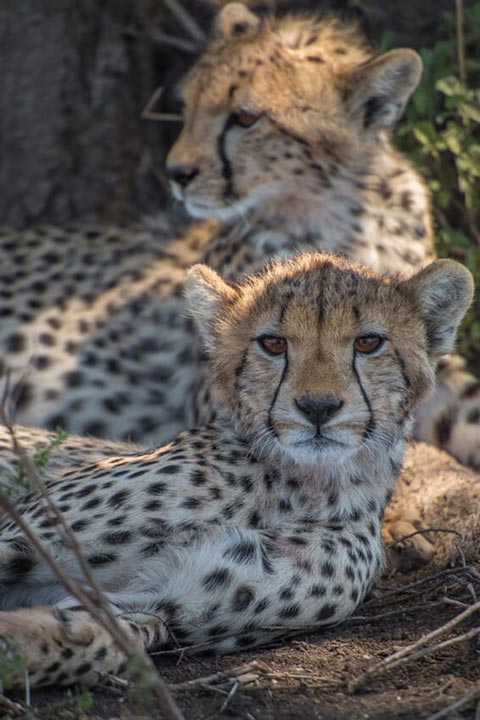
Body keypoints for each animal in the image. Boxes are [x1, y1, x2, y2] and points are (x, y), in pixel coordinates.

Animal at [0, 252, 472, 689]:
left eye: (369, 342)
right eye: (273, 344)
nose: (318, 407)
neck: (297, 488)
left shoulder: (165, 602)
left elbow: (107, 641)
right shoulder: (21, 529)